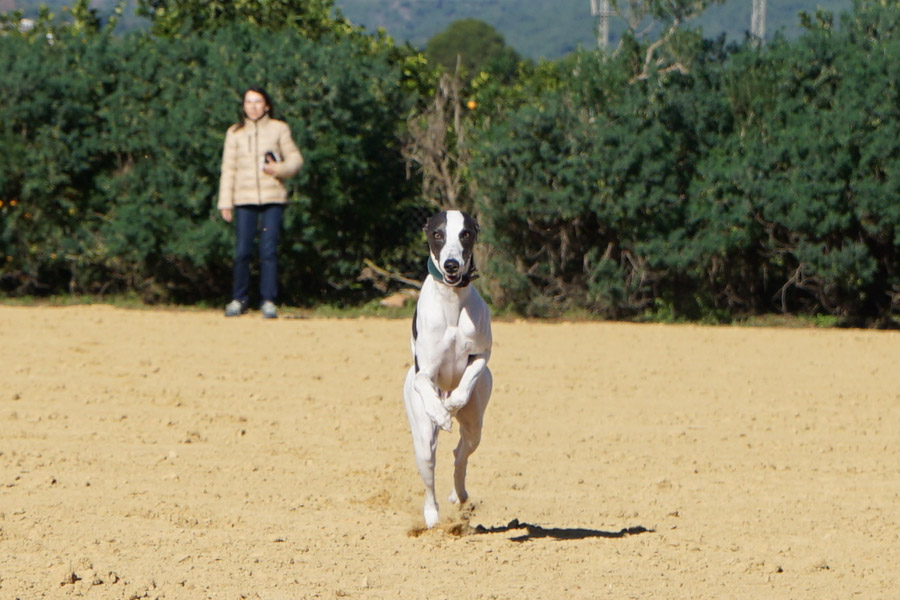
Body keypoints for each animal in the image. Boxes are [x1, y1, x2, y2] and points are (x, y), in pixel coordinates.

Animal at [404, 209, 496, 528]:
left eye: (466, 233)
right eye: (437, 234)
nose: (452, 265)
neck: (453, 302)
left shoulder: (482, 354)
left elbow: (468, 377)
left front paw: (453, 403)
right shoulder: (423, 371)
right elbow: (425, 382)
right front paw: (442, 414)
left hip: (475, 425)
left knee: (461, 453)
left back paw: (460, 495)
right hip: (422, 441)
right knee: (430, 479)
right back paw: (432, 517)